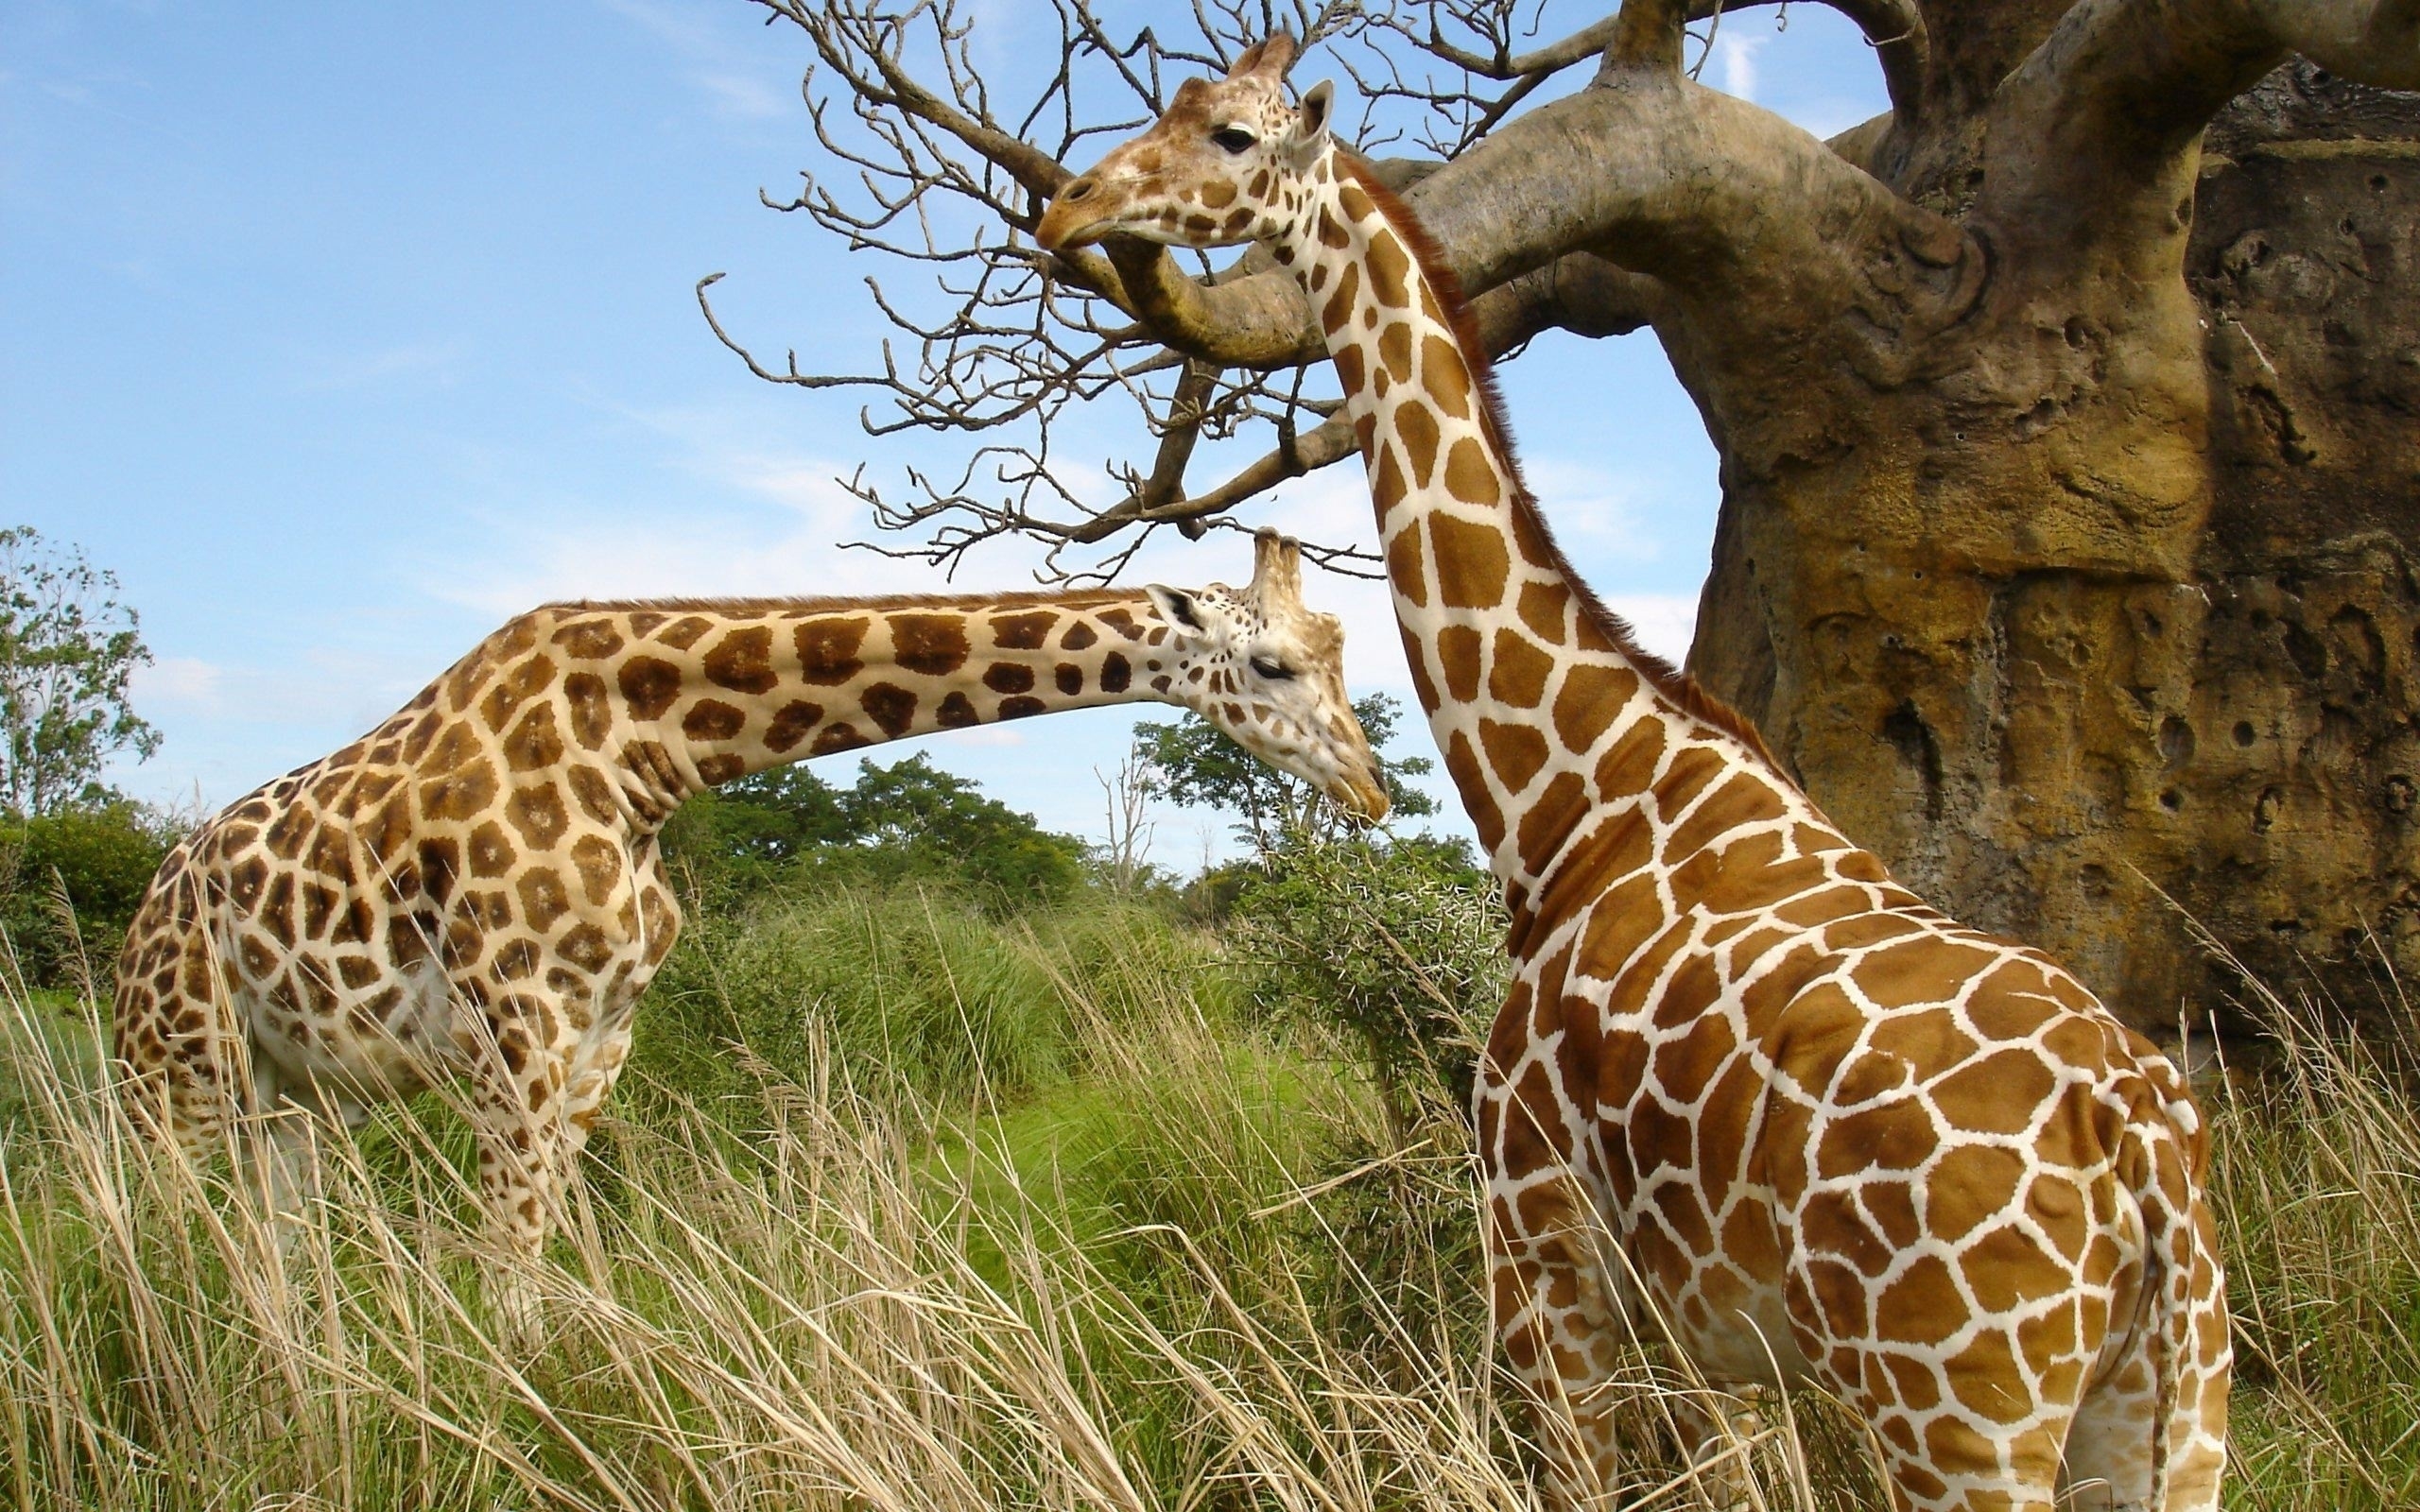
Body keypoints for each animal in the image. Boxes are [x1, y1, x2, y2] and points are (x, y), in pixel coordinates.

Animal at [113, 529, 1393, 1297]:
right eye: (1275, 665)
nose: (1372, 788)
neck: (642, 754)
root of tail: (144, 912)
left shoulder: (603, 1033)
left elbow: (548, 1250)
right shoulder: (518, 1022)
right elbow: (508, 1264)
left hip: (293, 1092)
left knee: (274, 1257)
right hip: (173, 1075)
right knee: (166, 1244)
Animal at [1040, 41, 2226, 1509]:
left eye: (1232, 136)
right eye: (1176, 103)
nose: (1070, 205)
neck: (1574, 797)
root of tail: (2146, 1154)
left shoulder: (1539, 1241)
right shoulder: (1712, 1328)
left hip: (1961, 1413)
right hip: (2168, 1406)